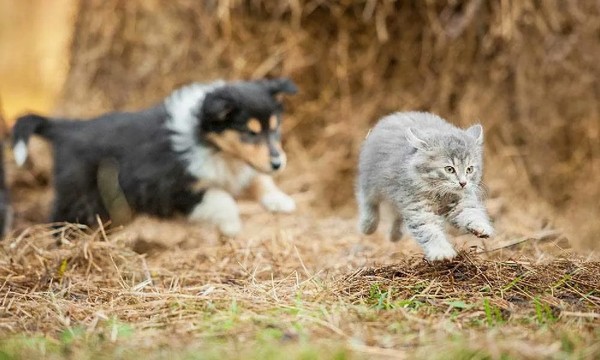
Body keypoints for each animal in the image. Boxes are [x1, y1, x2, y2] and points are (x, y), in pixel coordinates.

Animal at [11, 78, 298, 236]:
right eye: (250, 133)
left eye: (275, 128)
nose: (278, 163)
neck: (210, 144)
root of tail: (68, 128)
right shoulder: (173, 188)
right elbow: (222, 198)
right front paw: (231, 227)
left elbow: (258, 179)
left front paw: (281, 200)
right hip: (78, 194)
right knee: (60, 217)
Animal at [356, 111, 492, 260]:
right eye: (449, 169)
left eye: (469, 169)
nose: (463, 183)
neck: (439, 193)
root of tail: (397, 115)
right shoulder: (418, 209)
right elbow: (430, 232)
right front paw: (441, 252)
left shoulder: (461, 203)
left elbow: (471, 213)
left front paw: (480, 227)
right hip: (371, 183)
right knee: (367, 201)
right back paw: (367, 226)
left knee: (397, 215)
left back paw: (395, 235)